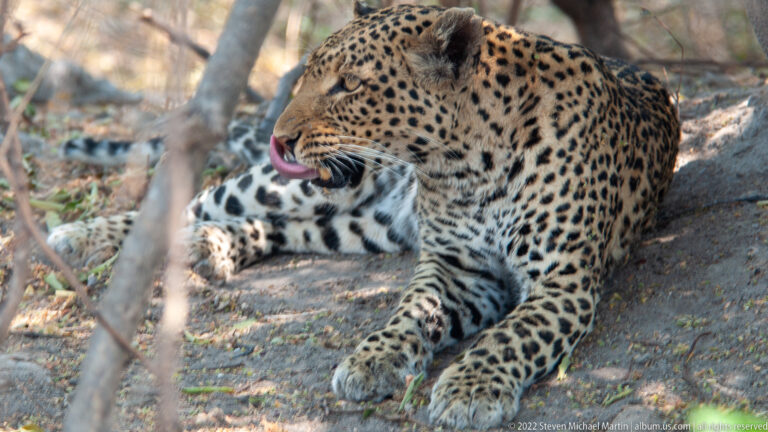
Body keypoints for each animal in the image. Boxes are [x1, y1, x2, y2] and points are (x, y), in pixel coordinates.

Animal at [48, 3, 679, 429]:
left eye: (348, 85)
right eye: (310, 74)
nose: (282, 137)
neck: (463, 163)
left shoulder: (561, 281)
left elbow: (513, 333)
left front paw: (471, 387)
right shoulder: (453, 266)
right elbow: (411, 310)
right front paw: (375, 358)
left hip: (362, 224)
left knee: (277, 230)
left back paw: (211, 246)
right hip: (295, 189)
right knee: (193, 204)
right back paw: (81, 236)